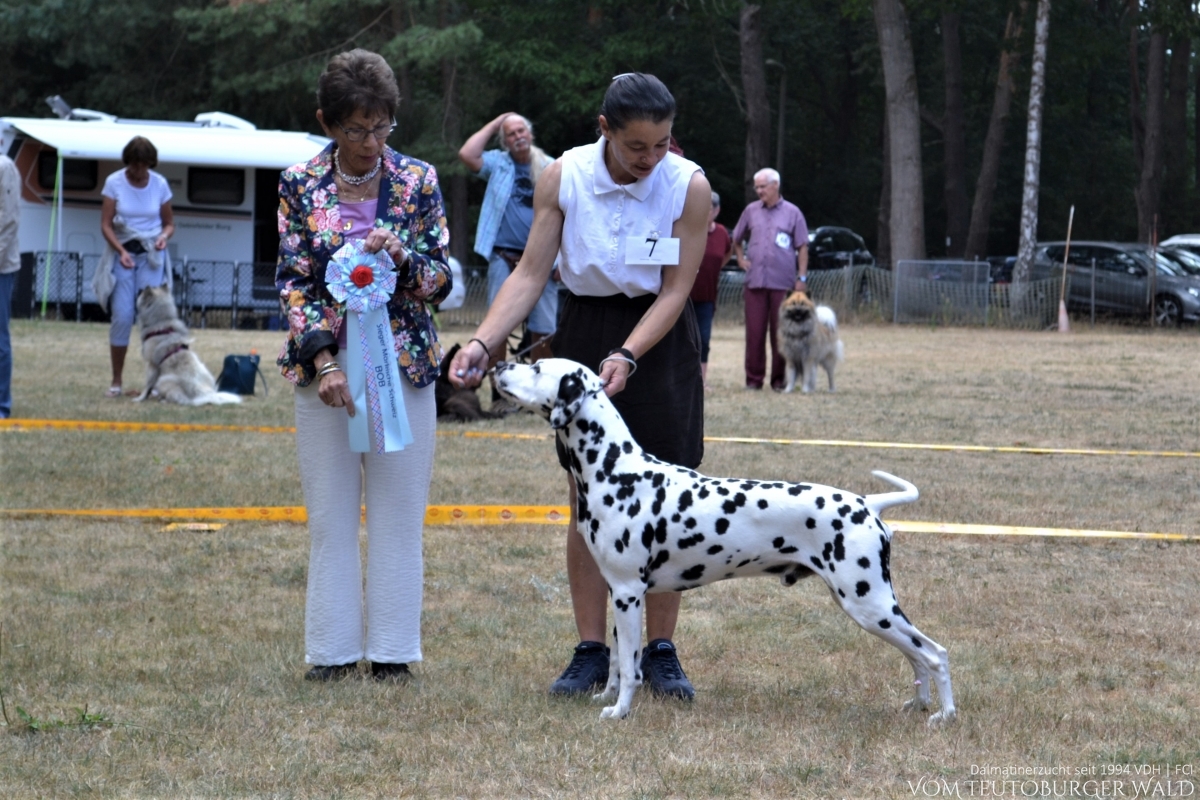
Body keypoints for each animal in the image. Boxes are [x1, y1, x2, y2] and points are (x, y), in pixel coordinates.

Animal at [489, 357, 955, 724]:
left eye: (536, 367)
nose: (497, 365)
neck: (616, 469)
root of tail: (867, 503)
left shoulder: (628, 592)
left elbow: (631, 668)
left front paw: (619, 712)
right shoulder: (617, 592)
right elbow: (619, 662)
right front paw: (605, 698)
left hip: (869, 603)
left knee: (934, 653)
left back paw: (944, 716)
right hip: (871, 608)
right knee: (916, 656)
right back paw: (918, 705)